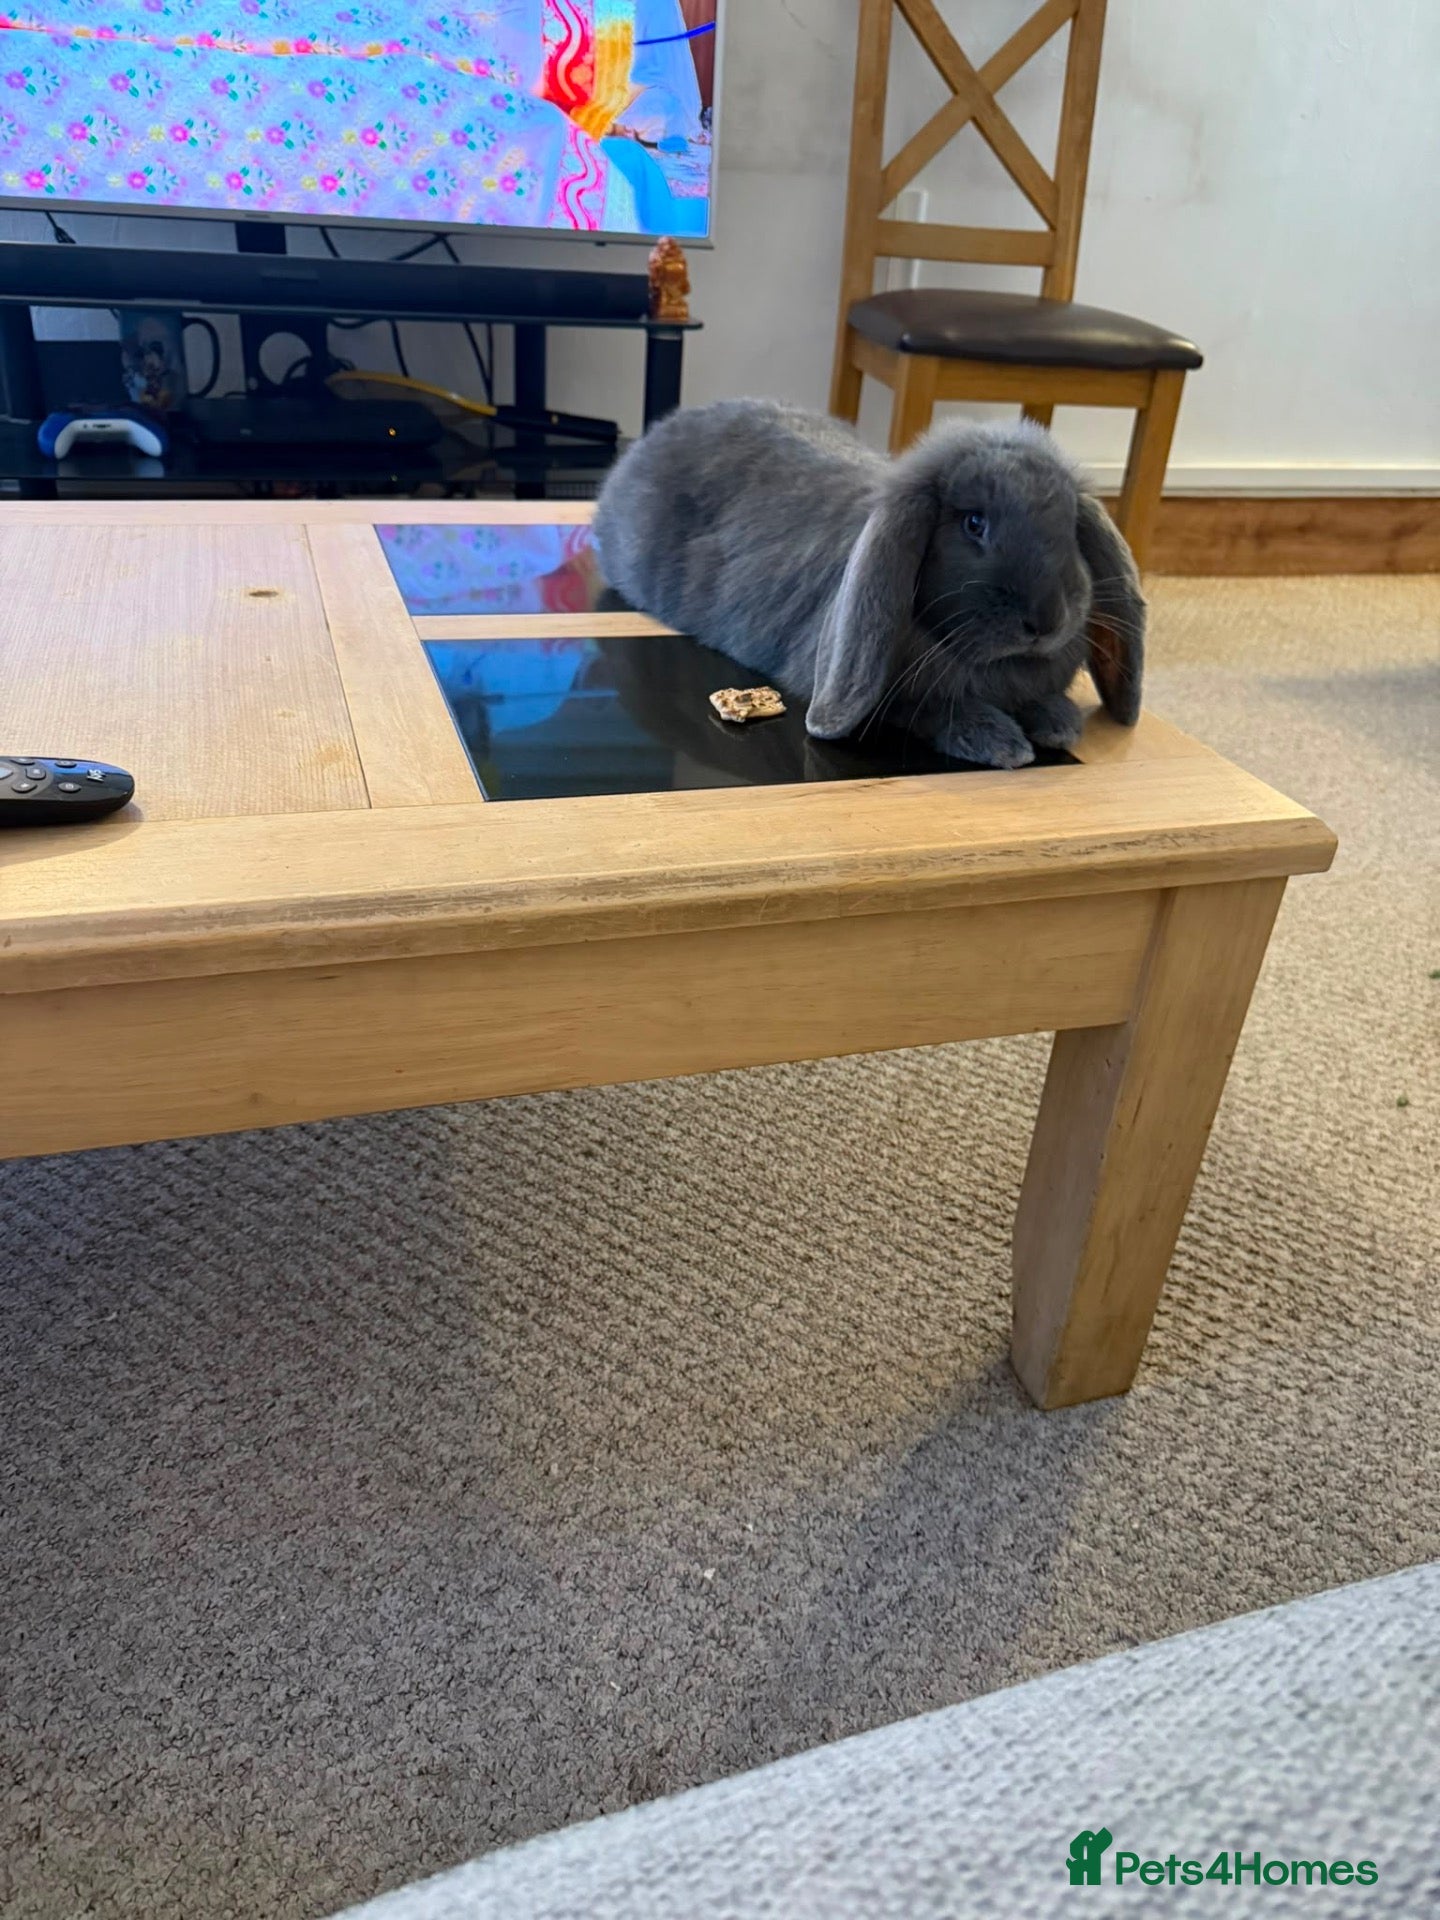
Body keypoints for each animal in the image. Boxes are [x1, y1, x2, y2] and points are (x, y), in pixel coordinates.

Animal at [592, 398, 1145, 769]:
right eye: (973, 523)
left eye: (1070, 526)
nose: (1046, 621)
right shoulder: (898, 698)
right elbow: (934, 709)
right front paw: (1001, 743)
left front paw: (1059, 723)